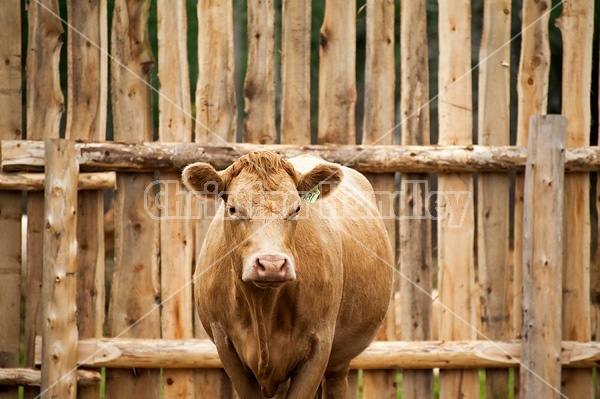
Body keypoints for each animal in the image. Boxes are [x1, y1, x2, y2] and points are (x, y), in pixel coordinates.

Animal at [182, 152, 394, 398]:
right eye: (233, 209)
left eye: (296, 209)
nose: (271, 264)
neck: (263, 309)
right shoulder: (225, 346)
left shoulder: (319, 348)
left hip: (339, 360)